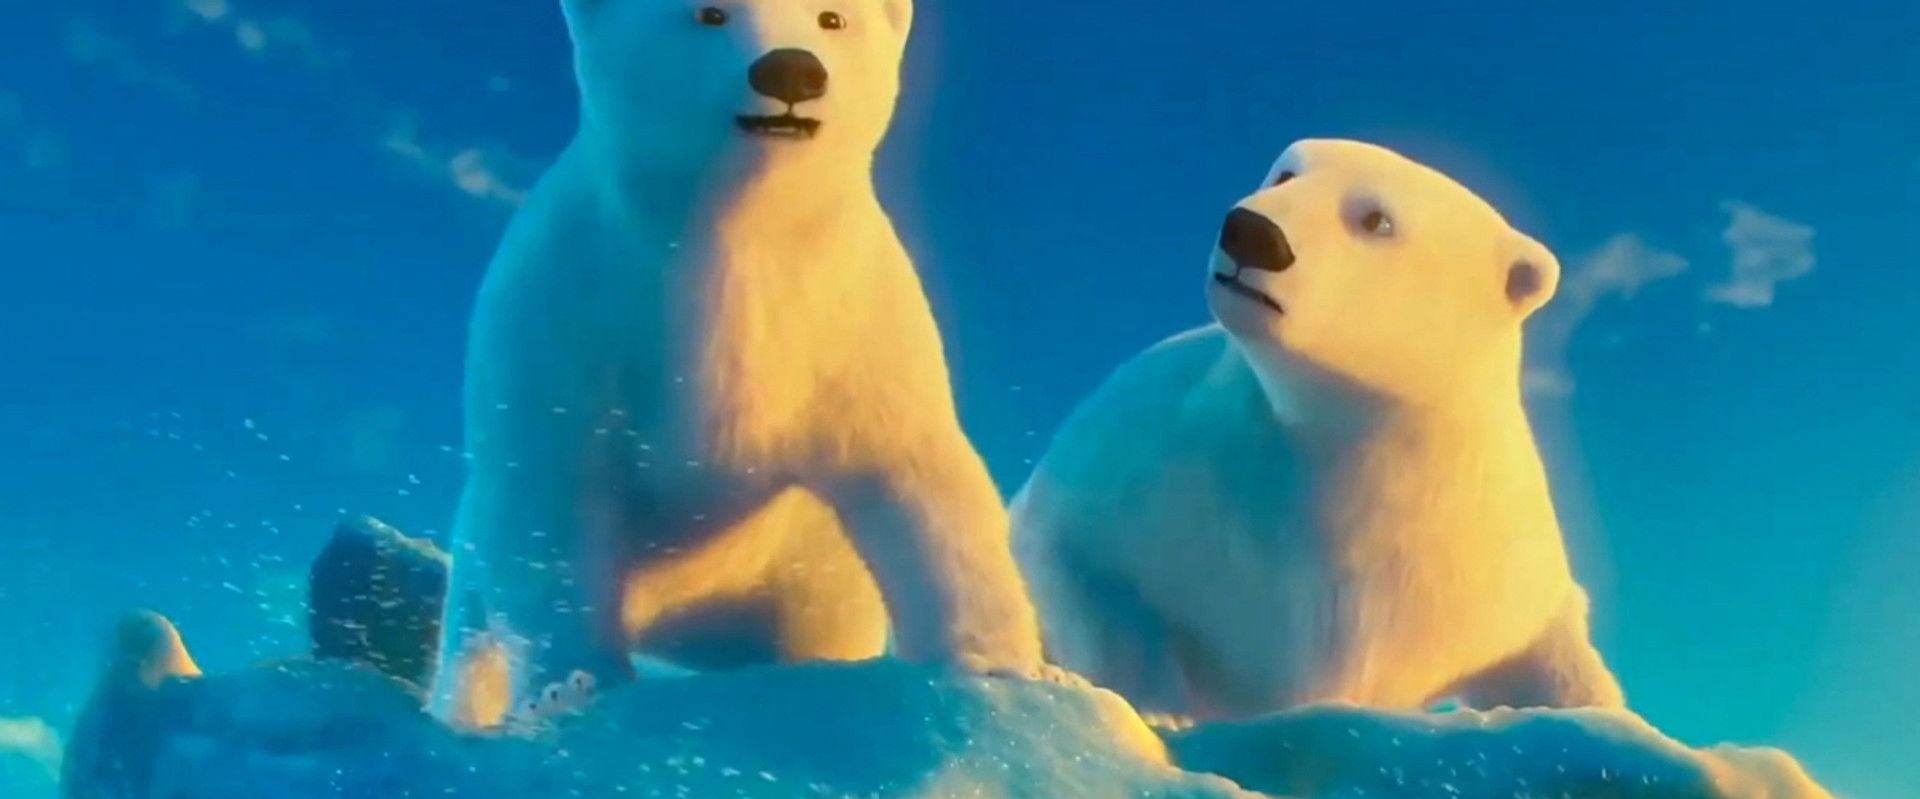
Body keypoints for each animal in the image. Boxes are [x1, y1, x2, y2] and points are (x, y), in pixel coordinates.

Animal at [429, 0, 1045, 727]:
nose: (792, 70)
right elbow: (550, 501)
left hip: (804, 581)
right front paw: (571, 686)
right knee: (470, 636)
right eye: (709, 13)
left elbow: (919, 476)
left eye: (832, 18)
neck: (732, 235)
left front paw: (998, 667)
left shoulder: (850, 325)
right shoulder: (565, 314)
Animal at [1010, 139, 1625, 722]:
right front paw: (1156, 706)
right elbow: (1076, 555)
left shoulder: (1478, 563)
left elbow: (1549, 655)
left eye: (1375, 219)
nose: (1252, 232)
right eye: (1287, 172)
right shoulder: (1152, 464)